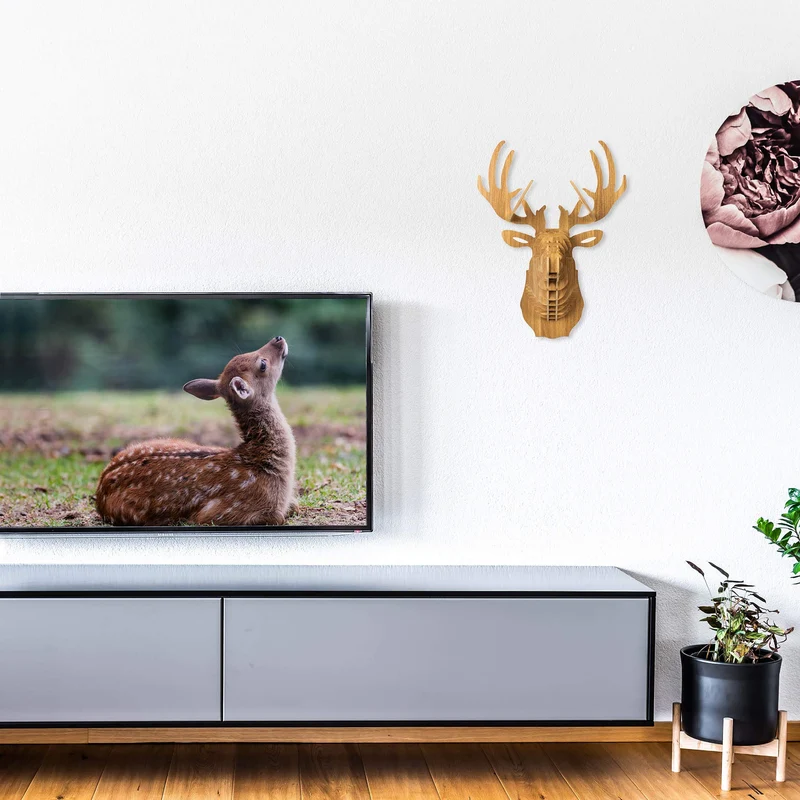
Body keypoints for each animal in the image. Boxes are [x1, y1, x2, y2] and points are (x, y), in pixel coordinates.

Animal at [95, 336, 298, 527]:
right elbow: (277, 517)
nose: (278, 339)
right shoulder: (219, 512)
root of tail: (99, 490)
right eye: (262, 364)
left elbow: (294, 505)